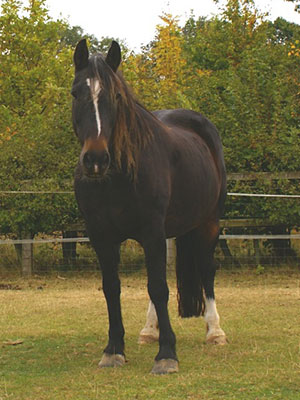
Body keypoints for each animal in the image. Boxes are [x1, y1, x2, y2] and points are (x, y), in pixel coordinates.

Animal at [71, 39, 226, 374]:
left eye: (116, 96)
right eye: (76, 93)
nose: (95, 160)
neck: (116, 179)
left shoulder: (151, 231)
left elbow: (158, 287)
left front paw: (167, 354)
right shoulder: (102, 237)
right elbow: (112, 288)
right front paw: (114, 350)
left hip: (209, 222)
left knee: (206, 270)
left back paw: (215, 331)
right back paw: (149, 330)